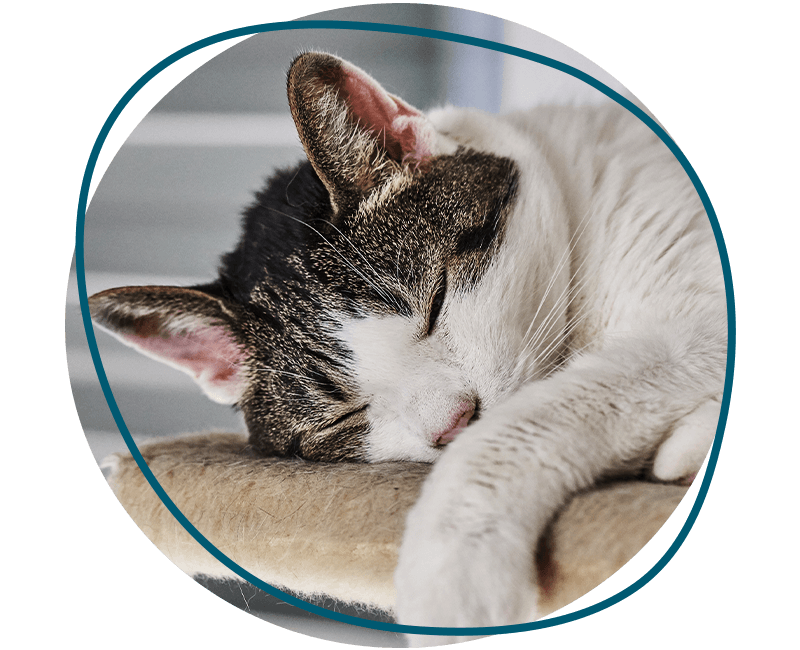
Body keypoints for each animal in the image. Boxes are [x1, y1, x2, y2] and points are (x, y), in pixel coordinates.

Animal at [87, 53, 724, 640]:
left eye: (437, 299)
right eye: (343, 416)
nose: (454, 422)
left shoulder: (700, 325)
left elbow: (533, 420)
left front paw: (453, 573)